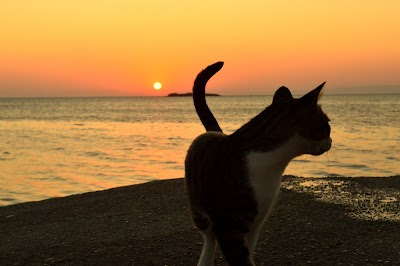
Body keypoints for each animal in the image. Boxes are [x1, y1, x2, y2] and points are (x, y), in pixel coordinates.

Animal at [184, 61, 332, 264]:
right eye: (328, 125)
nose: (332, 141)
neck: (272, 166)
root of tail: (215, 132)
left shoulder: (257, 221)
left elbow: (250, 252)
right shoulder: (229, 229)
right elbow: (241, 258)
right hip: (199, 209)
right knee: (209, 237)